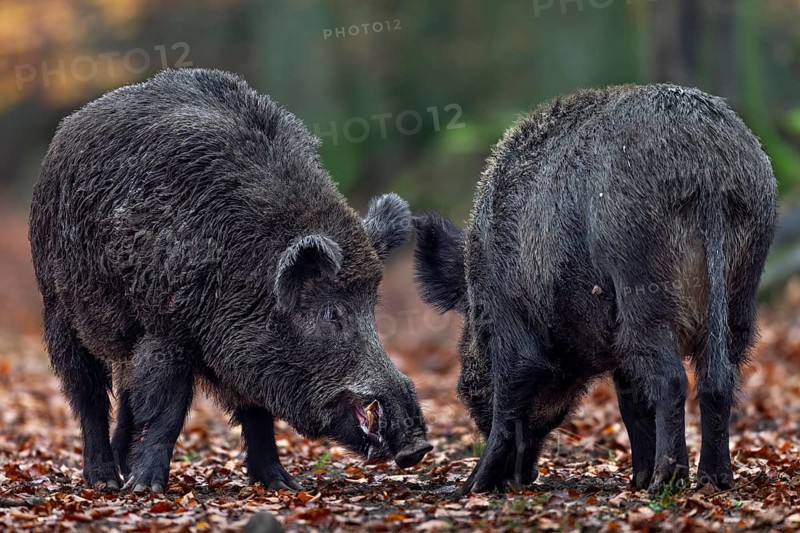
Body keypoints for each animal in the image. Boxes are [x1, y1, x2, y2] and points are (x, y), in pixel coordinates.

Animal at [29, 68, 432, 493]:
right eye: (331, 313)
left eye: (371, 309)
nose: (418, 446)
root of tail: (68, 129)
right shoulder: (166, 329)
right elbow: (167, 412)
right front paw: (146, 488)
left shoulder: (249, 350)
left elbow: (257, 413)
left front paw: (282, 485)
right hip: (59, 307)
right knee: (87, 393)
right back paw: (105, 480)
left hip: (124, 336)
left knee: (126, 395)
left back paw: (121, 471)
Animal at [414, 85, 777, 494]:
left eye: (477, 328)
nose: (521, 478)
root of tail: (708, 168)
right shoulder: (614, 345)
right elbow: (631, 404)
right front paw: (636, 480)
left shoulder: (512, 324)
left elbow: (511, 396)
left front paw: (470, 487)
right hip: (742, 287)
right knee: (719, 376)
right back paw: (713, 481)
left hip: (643, 283)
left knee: (672, 378)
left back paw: (667, 481)